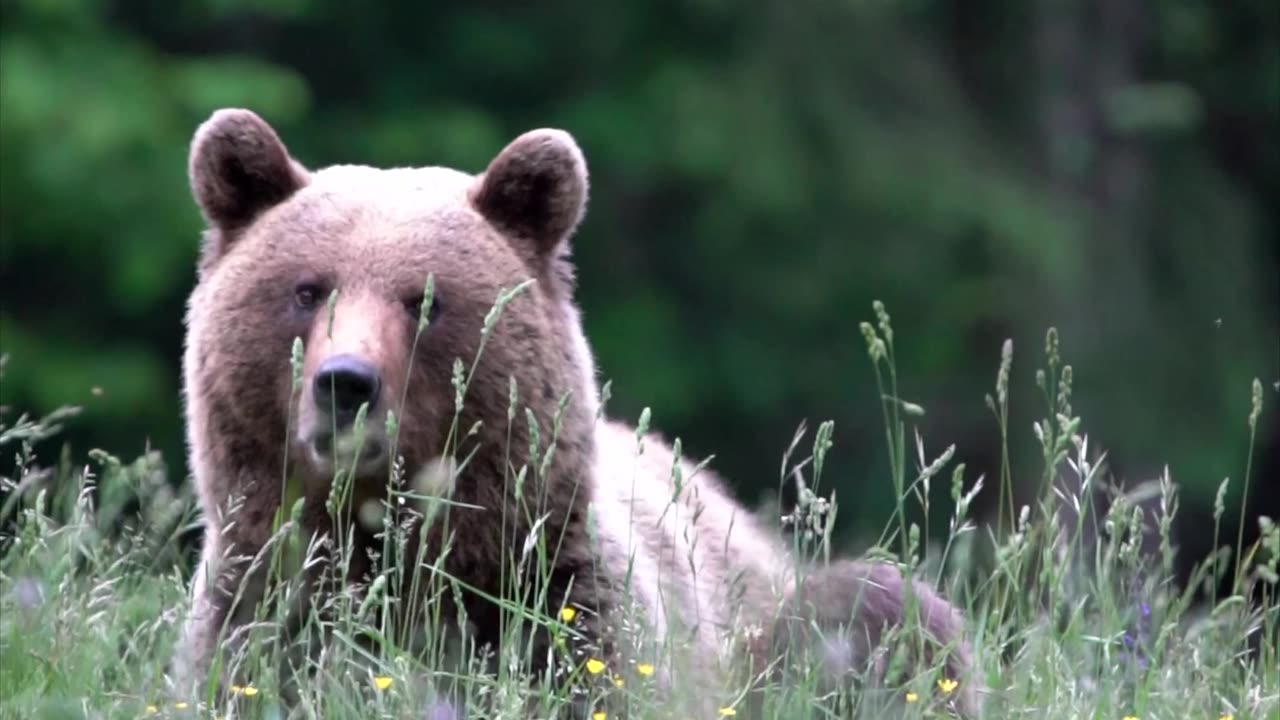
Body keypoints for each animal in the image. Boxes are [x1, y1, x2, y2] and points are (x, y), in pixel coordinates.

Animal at [170, 107, 977, 717]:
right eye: (307, 290)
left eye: (425, 300)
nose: (345, 383)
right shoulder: (263, 603)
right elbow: (254, 668)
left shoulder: (562, 610)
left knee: (883, 608)